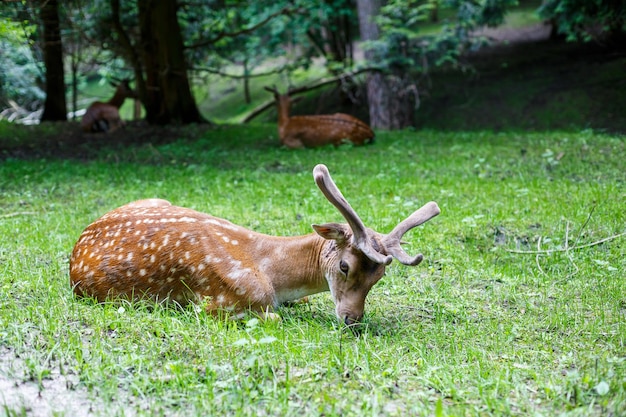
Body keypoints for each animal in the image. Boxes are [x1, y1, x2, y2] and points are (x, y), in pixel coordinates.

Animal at [69, 164, 438, 324]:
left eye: (379, 277)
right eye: (345, 265)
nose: (353, 319)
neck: (275, 274)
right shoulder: (220, 301)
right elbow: (273, 317)